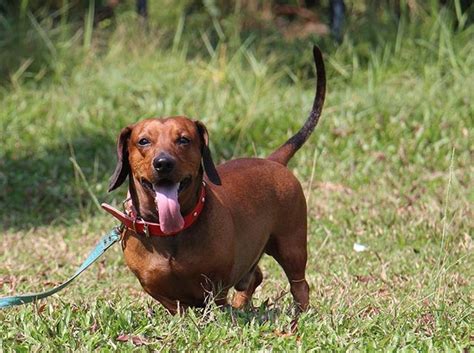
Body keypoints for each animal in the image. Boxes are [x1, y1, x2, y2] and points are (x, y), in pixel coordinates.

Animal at [105, 45, 324, 312]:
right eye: (143, 141)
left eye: (184, 139)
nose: (163, 163)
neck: (171, 233)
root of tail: (273, 161)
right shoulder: (163, 295)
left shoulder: (215, 289)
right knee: (254, 277)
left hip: (290, 245)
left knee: (299, 285)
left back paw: (299, 313)